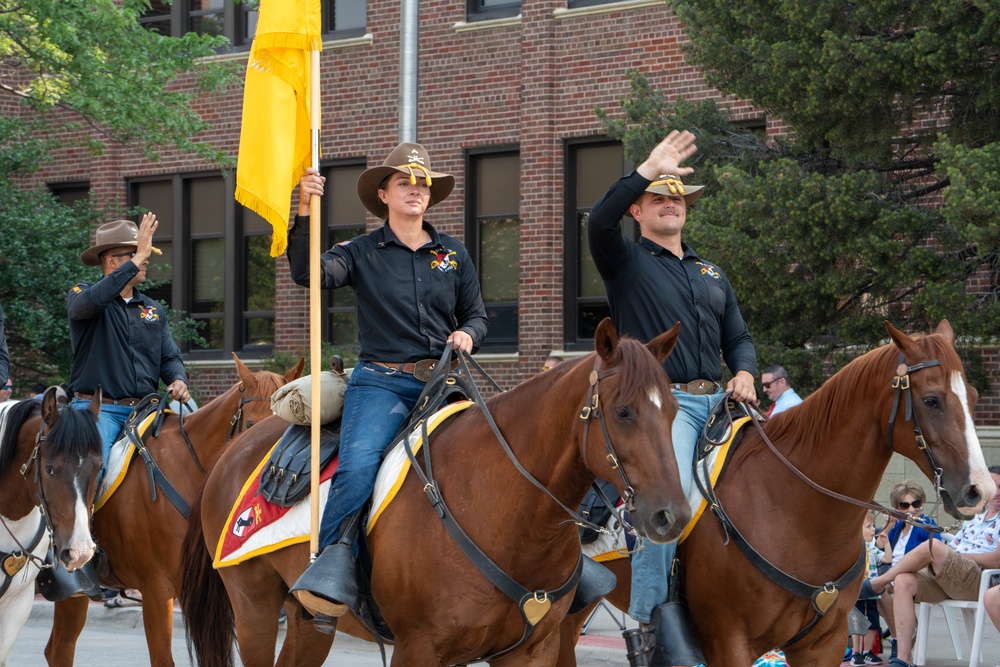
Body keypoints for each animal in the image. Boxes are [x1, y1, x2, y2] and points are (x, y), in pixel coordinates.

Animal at [180, 320, 692, 667]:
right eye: (623, 412)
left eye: (673, 410)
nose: (671, 515)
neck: (509, 514)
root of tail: (233, 450)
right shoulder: (419, 648)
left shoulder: (531, 650)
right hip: (253, 607)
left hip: (308, 618)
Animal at [560, 320, 996, 664]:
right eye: (931, 400)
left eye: (974, 397)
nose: (980, 489)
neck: (793, 509)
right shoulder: (729, 643)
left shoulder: (823, 644)